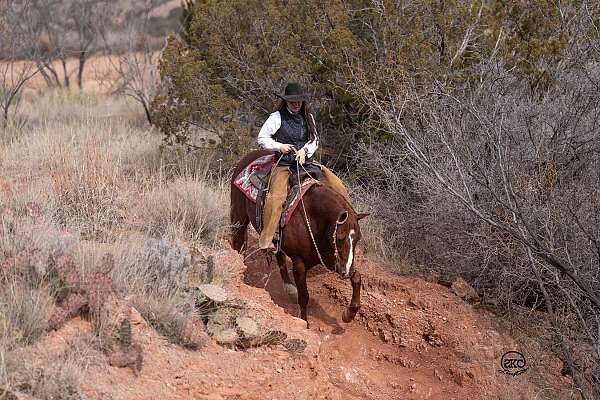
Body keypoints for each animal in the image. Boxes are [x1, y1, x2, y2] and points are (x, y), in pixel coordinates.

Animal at [232, 148, 368, 326]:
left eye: (358, 239)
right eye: (340, 238)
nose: (346, 272)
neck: (313, 217)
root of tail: (248, 157)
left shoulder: (331, 258)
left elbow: (357, 277)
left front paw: (349, 314)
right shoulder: (299, 264)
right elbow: (304, 297)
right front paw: (304, 323)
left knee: (278, 254)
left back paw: (289, 289)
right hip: (239, 216)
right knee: (239, 241)